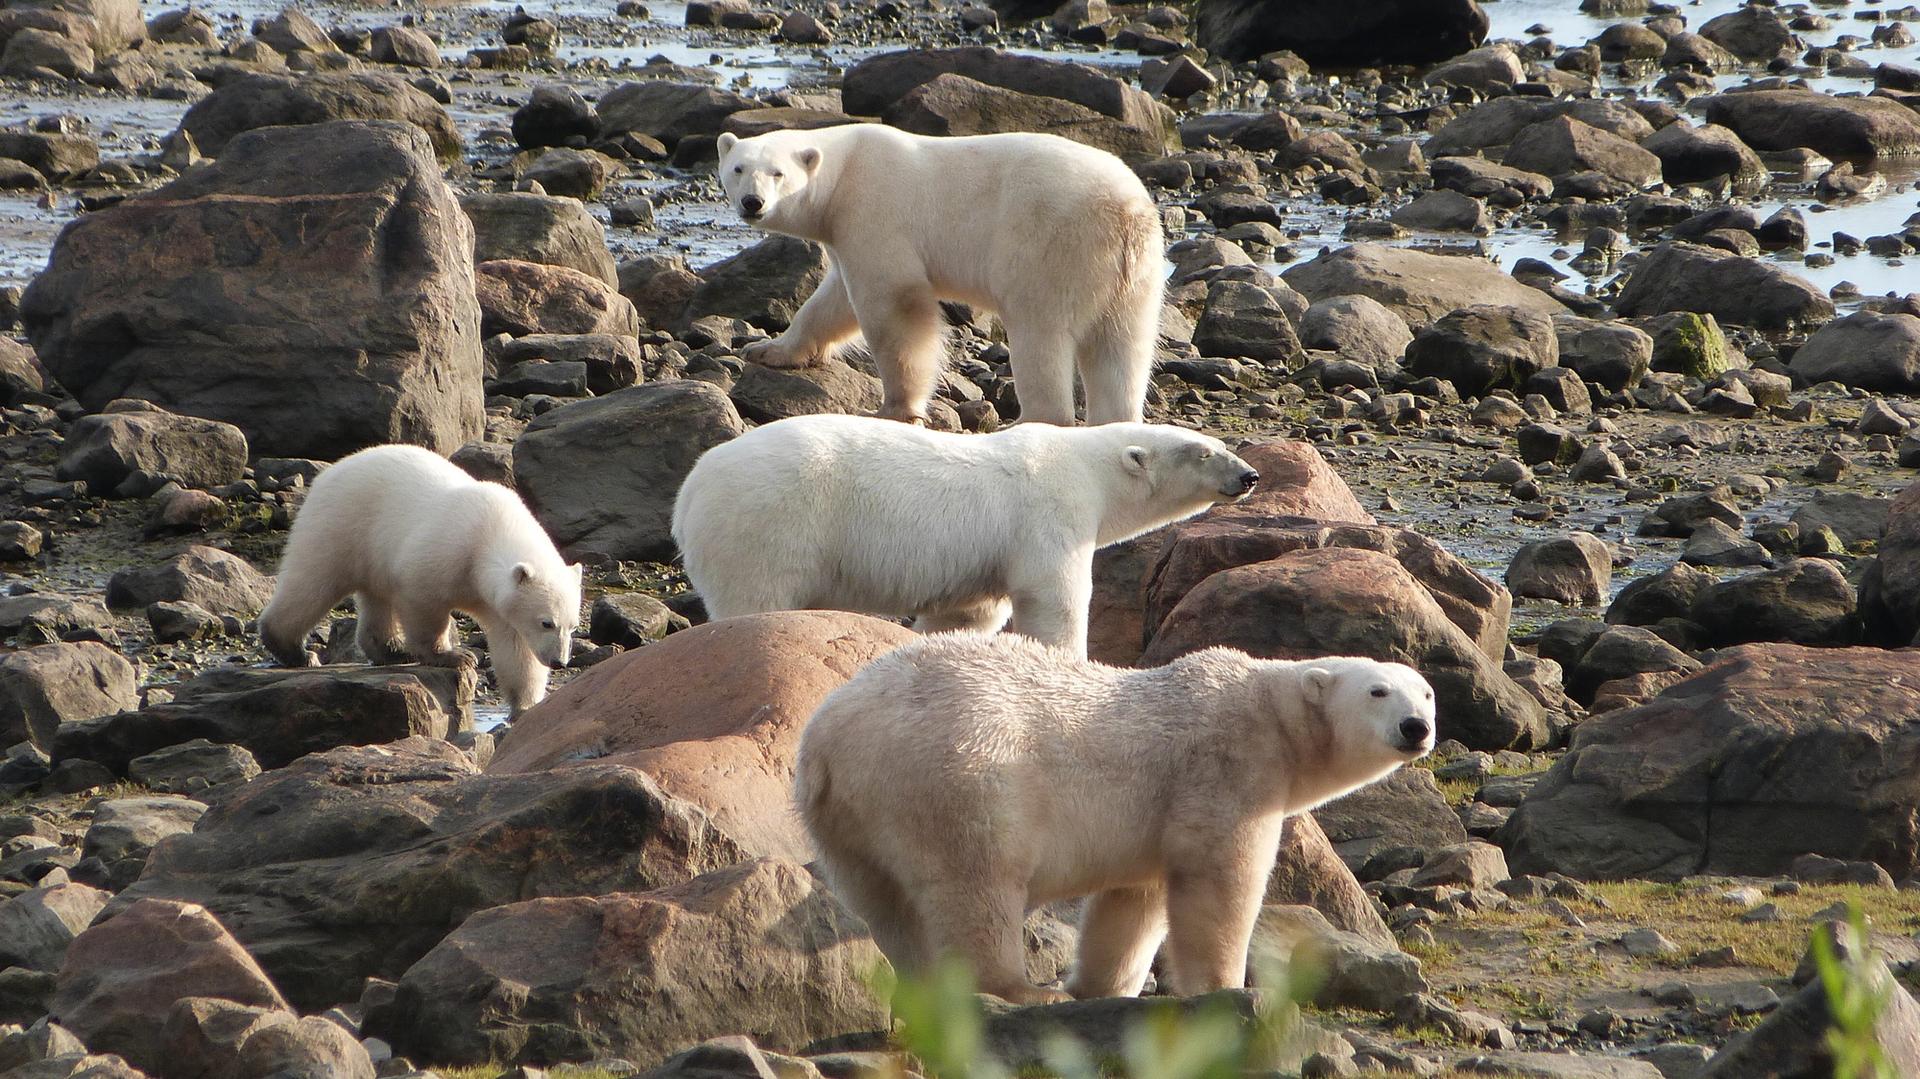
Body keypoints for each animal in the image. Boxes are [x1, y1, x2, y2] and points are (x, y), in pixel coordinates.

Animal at [259, 443, 579, 714]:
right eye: (547, 622)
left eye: (573, 626)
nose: (559, 662)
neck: (490, 534)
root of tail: (333, 469)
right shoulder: (448, 550)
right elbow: (423, 599)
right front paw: (455, 656)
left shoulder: (498, 603)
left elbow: (516, 649)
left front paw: (524, 707)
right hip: (340, 524)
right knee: (313, 582)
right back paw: (296, 651)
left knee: (374, 598)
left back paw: (393, 651)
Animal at [675, 412, 1259, 656]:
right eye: (1203, 452)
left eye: (1219, 443)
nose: (1249, 476)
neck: (1084, 464)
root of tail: (688, 493)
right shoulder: (1049, 511)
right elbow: (1053, 596)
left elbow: (970, 612)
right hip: (768, 522)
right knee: (757, 595)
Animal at [718, 124, 1152, 424]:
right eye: (738, 168)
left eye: (777, 173)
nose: (752, 202)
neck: (843, 172)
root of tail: (1125, 209)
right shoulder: (845, 232)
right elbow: (831, 302)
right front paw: (767, 350)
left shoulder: (874, 209)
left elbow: (894, 304)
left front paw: (895, 408)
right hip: (1131, 275)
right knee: (1122, 349)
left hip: (1051, 245)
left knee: (1039, 331)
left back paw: (1029, 421)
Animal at [787, 637, 1436, 998]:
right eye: (1378, 691)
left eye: (1426, 693)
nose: (1416, 728)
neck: (1267, 711)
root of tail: (827, 741)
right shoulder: (1225, 767)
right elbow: (1219, 880)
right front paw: (1225, 987)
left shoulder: (1158, 813)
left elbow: (1132, 902)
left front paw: (1103, 985)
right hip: (958, 775)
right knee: (976, 883)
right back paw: (1020, 990)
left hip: (845, 822)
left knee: (886, 905)